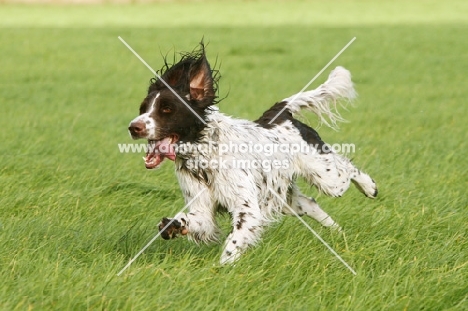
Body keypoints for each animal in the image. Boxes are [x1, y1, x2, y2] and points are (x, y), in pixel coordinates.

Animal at [128, 44, 376, 264]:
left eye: (167, 109)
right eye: (143, 108)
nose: (133, 127)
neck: (204, 157)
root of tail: (282, 114)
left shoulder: (247, 210)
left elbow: (233, 244)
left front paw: (223, 268)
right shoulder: (203, 211)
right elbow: (191, 221)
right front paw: (173, 226)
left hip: (325, 176)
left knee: (348, 169)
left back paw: (370, 188)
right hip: (284, 196)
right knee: (310, 202)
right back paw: (338, 233)